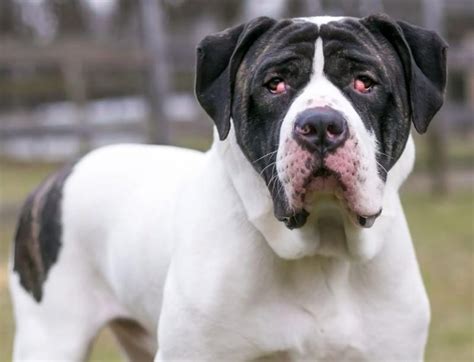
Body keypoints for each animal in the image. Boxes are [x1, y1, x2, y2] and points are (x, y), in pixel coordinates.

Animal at [9, 14, 446, 362]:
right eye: (275, 85)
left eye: (364, 82)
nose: (321, 124)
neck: (322, 249)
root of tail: (60, 174)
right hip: (50, 339)